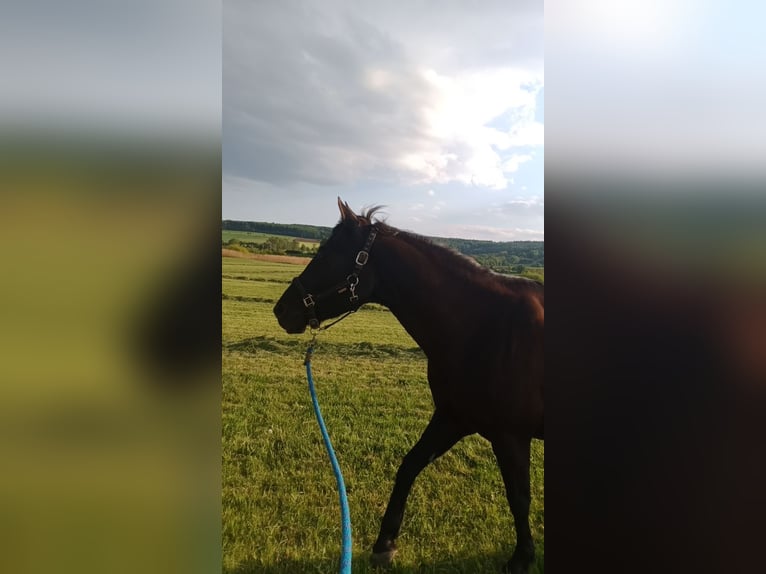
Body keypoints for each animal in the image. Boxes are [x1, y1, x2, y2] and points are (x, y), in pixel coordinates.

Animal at [273, 198, 544, 574]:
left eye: (325, 254)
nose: (281, 310)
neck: (484, 326)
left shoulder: (511, 435)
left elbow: (518, 496)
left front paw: (522, 557)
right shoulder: (453, 418)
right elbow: (409, 466)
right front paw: (385, 544)